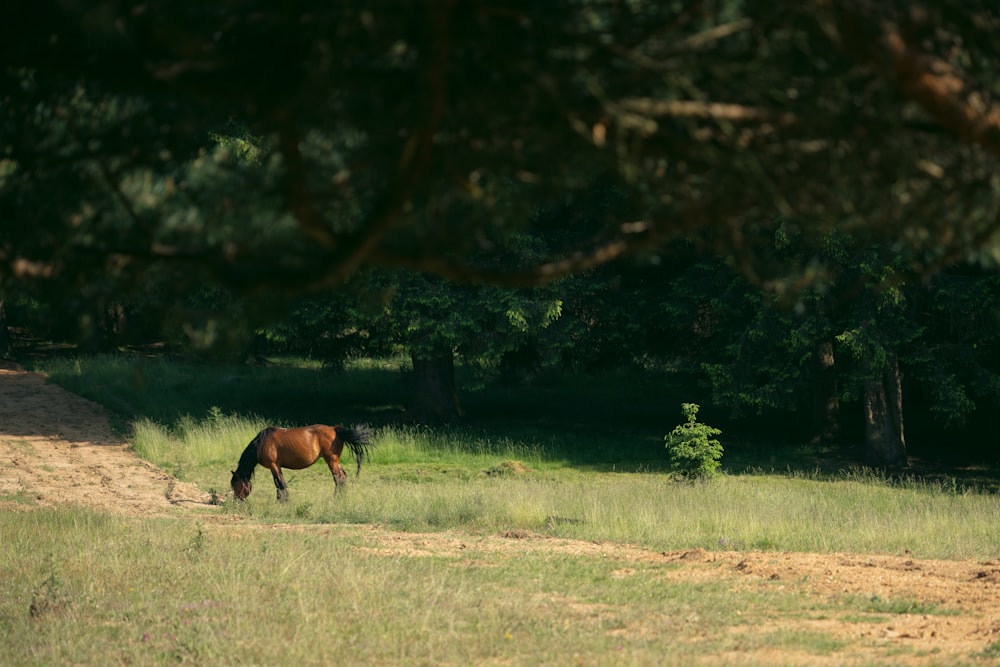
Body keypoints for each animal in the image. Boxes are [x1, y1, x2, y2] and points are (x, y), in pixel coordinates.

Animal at [230, 426, 376, 504]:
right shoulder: (276, 467)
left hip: (331, 461)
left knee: (338, 479)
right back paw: (341, 497)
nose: (237, 501)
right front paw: (281, 500)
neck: (261, 443)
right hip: (335, 462)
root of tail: (335, 429)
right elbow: (278, 483)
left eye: (236, 484)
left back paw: (336, 498)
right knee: (343, 477)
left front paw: (284, 501)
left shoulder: (274, 465)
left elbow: (280, 483)